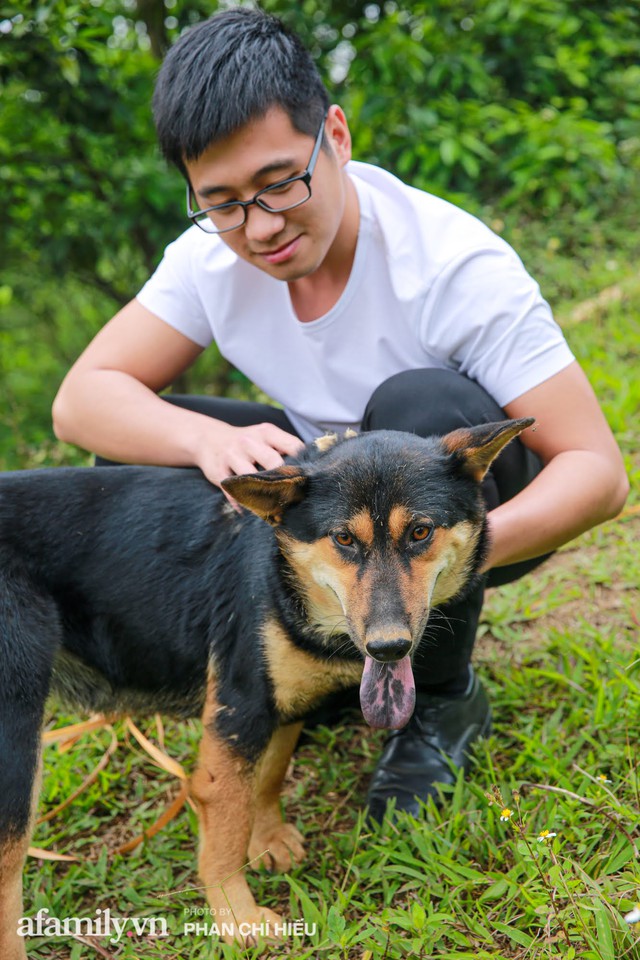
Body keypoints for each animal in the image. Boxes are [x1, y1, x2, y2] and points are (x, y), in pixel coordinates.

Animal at [0, 418, 528, 952]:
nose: (388, 648)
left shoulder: (282, 704)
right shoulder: (238, 710)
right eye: (344, 539)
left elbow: (269, 776)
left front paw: (268, 838)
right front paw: (237, 916)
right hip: (17, 737)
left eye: (420, 532)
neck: (285, 576)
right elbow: (226, 824)